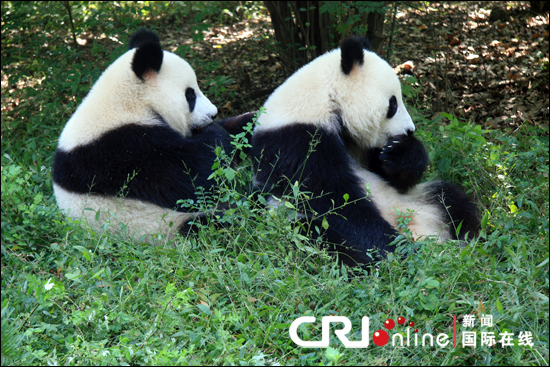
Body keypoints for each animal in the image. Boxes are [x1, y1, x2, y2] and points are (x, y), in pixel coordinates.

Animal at [52, 30, 251, 240]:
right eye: (190, 95)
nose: (213, 114)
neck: (129, 101)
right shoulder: (122, 150)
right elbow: (192, 176)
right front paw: (214, 134)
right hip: (160, 225)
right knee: (213, 225)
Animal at [252, 37, 480, 268]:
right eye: (393, 103)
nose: (409, 130)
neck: (326, 98)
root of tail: (421, 230)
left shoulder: (361, 146)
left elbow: (392, 175)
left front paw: (400, 154)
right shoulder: (297, 140)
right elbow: (333, 202)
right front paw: (396, 248)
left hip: (417, 200)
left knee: (451, 200)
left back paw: (466, 243)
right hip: (292, 219)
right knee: (320, 237)